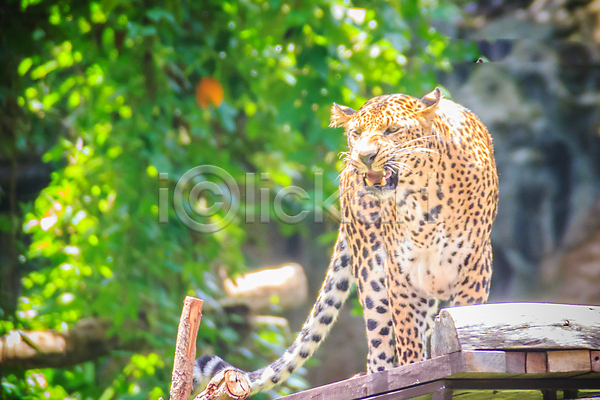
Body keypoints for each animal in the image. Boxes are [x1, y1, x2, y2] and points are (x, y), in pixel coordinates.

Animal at [192, 87, 498, 396]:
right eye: (357, 133)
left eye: (392, 130)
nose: (364, 156)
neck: (422, 200)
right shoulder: (400, 275)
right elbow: (408, 343)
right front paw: (413, 374)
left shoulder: (474, 267)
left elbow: (463, 320)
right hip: (372, 272)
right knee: (378, 347)